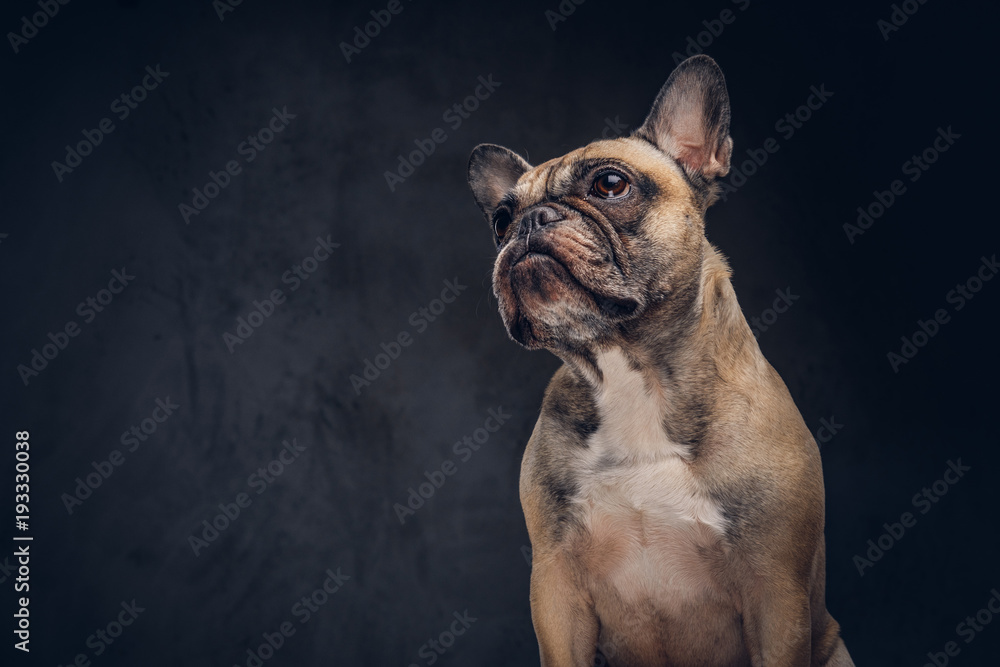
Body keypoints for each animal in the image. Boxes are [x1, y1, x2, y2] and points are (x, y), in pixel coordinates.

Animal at [468, 57, 852, 667]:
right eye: (501, 219)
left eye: (610, 183)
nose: (529, 223)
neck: (629, 371)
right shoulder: (556, 588)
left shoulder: (776, 593)